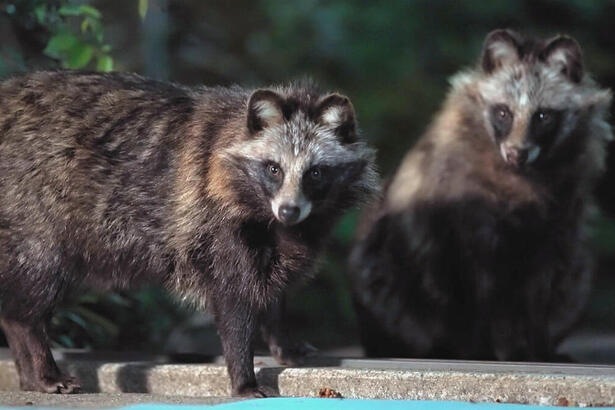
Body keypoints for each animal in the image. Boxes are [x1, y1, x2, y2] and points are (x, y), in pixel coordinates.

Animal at [0, 71, 380, 398]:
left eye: (315, 172)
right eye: (274, 169)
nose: (288, 211)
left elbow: (274, 284)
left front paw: (283, 339)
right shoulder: (211, 220)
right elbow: (234, 300)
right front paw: (243, 375)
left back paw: (27, 370)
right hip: (32, 208)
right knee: (37, 284)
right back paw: (40, 363)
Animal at [348, 30, 612, 360]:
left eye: (543, 116)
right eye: (503, 112)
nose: (516, 153)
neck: (523, 175)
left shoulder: (559, 221)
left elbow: (540, 291)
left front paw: (540, 348)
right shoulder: (463, 215)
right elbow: (473, 292)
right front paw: (479, 350)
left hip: (577, 270)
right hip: (379, 273)